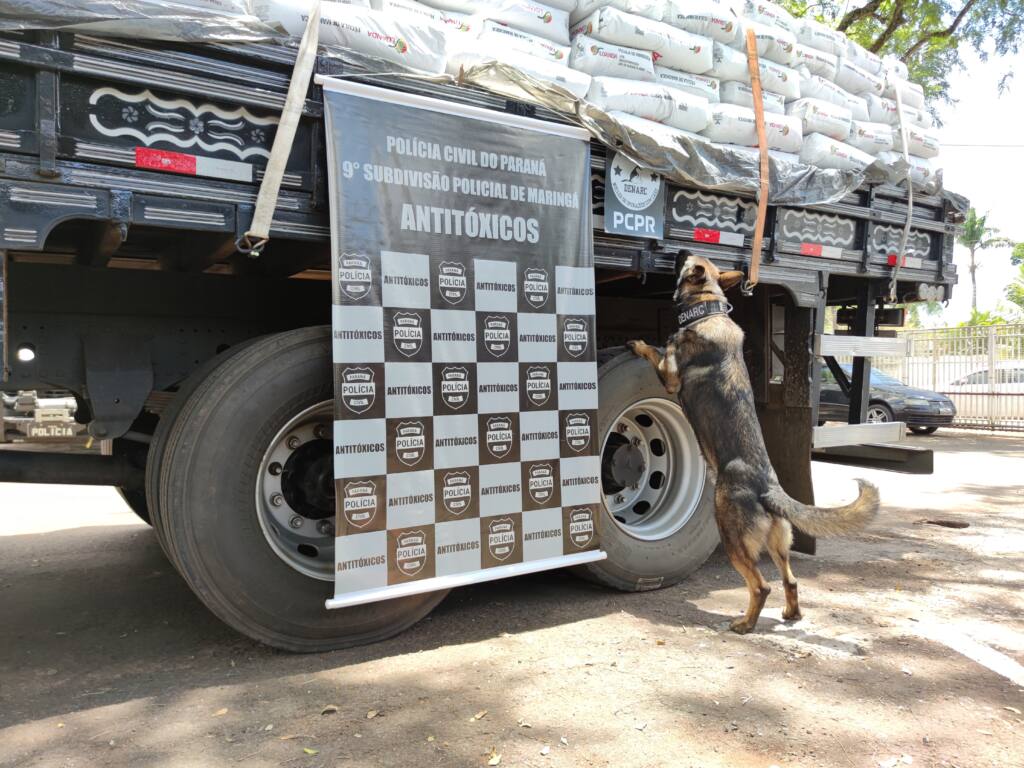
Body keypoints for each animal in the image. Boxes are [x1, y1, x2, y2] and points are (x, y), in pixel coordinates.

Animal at [622, 256, 880, 634]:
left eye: (686, 260)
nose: (678, 251)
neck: (707, 309)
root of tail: (769, 489)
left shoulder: (670, 376)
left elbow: (656, 351)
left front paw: (639, 344)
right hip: (777, 545)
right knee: (790, 581)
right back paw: (790, 614)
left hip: (732, 537)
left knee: (762, 586)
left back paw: (744, 624)